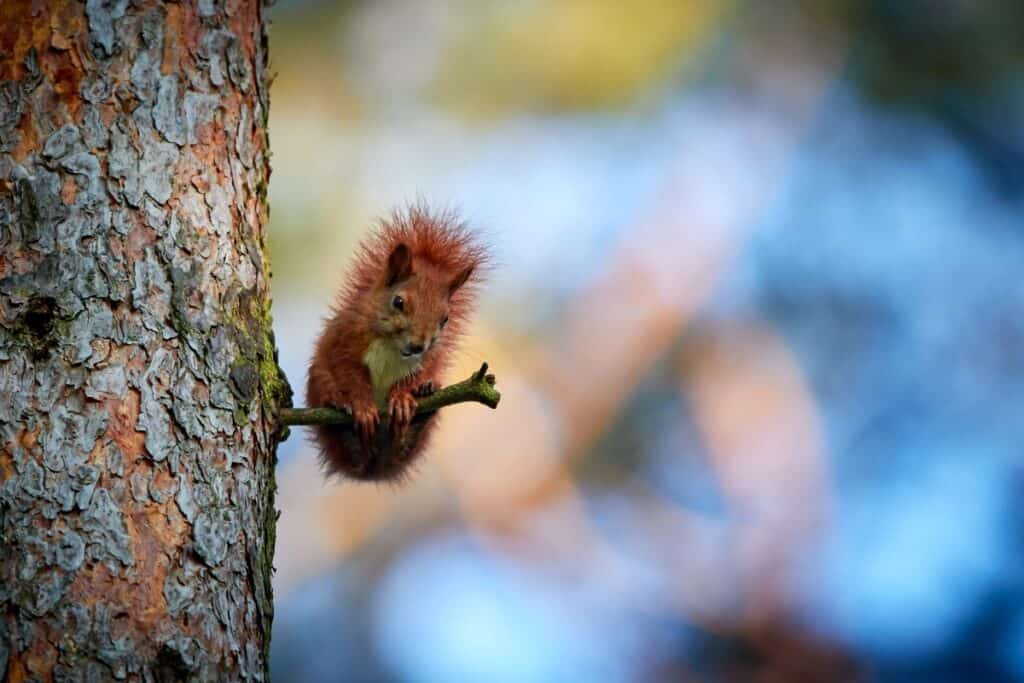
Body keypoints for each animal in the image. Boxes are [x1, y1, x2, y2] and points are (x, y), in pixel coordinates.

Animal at [303, 205, 487, 483]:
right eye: (398, 302)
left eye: (445, 319)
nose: (419, 346)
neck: (392, 346)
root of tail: (373, 469)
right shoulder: (343, 340)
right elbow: (348, 373)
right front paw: (362, 405)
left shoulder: (430, 357)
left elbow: (419, 372)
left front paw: (403, 397)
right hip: (317, 382)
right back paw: (335, 404)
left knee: (401, 448)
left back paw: (422, 402)